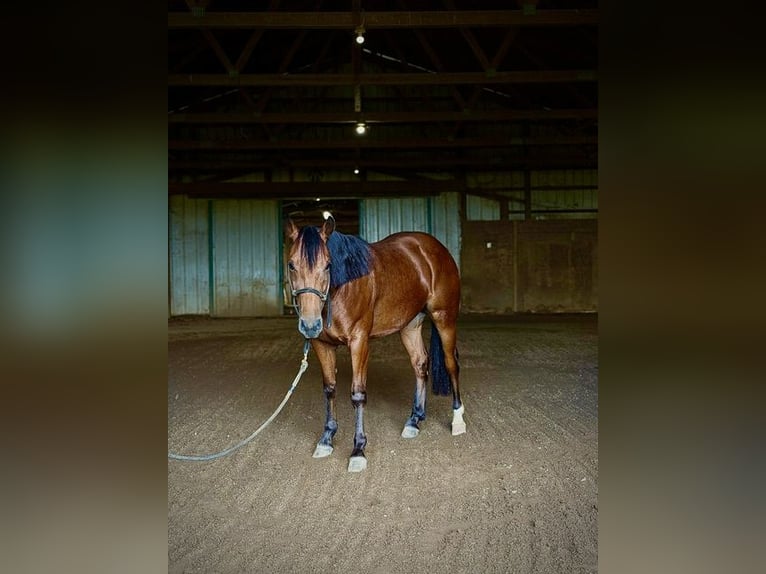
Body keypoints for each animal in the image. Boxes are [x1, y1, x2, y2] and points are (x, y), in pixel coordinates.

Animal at [285, 215, 465, 472]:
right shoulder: (322, 344)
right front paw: (326, 439)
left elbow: (358, 394)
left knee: (451, 364)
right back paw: (414, 420)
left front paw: (358, 450)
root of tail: (436, 249)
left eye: (328, 265)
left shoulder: (359, 342)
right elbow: (329, 389)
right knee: (420, 364)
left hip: (444, 318)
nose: (310, 324)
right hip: (410, 326)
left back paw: (458, 420)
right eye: (291, 265)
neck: (344, 286)